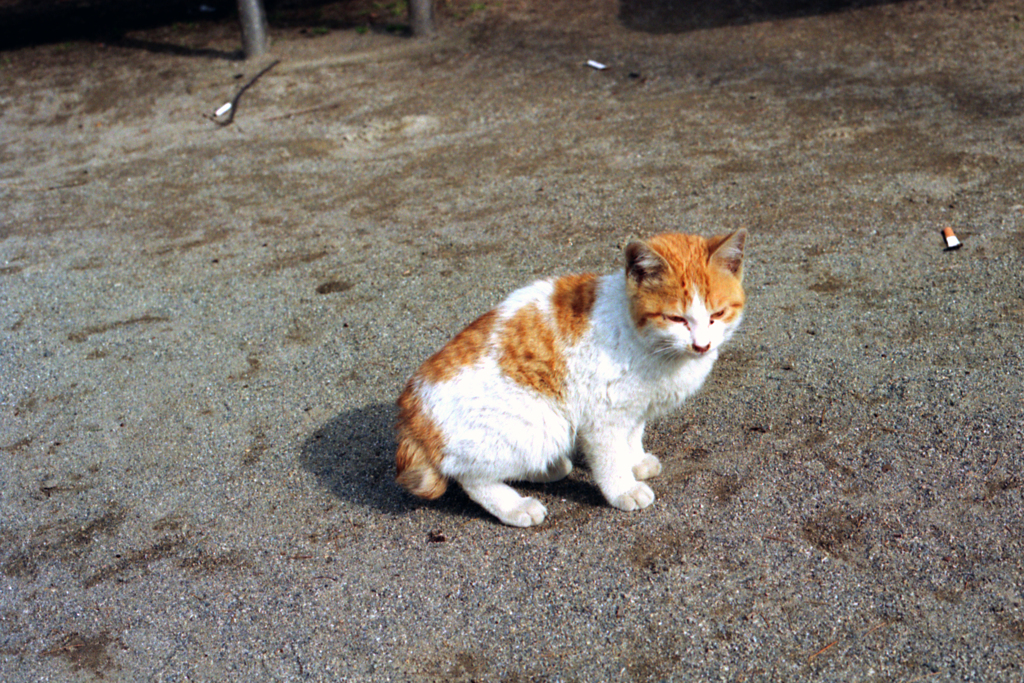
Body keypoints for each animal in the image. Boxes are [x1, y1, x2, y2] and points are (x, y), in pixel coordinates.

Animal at [391, 231, 745, 528]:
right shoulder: (603, 415)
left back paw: (547, 469)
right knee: (471, 477)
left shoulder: (632, 408)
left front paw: (635, 461)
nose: (702, 345)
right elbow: (610, 459)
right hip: (540, 423)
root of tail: (410, 408)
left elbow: (632, 435)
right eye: (676, 318)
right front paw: (623, 489)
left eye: (717, 315)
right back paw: (515, 507)